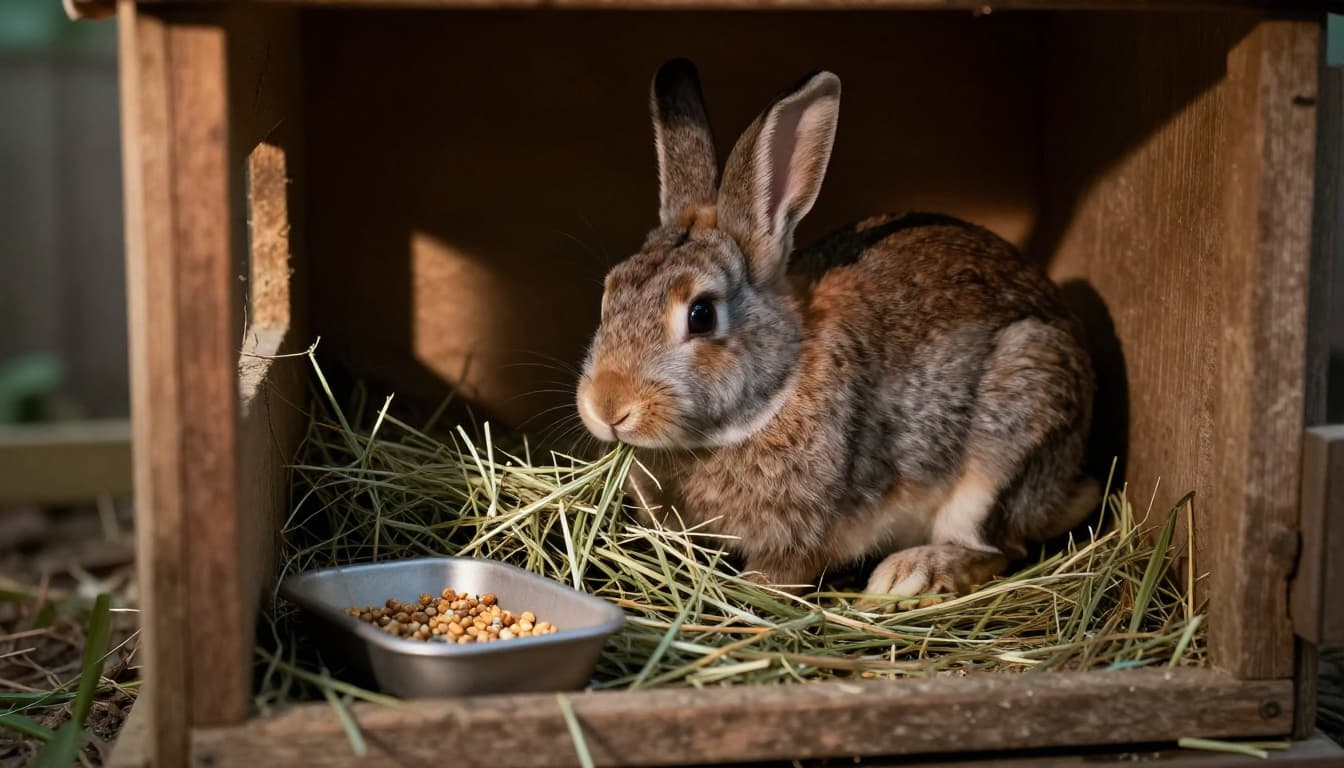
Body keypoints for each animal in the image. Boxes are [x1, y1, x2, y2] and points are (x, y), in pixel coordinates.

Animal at [575, 59, 1097, 604]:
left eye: (701, 314)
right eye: (609, 294)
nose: (608, 407)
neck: (778, 389)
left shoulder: (800, 538)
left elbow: (778, 577)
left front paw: (748, 594)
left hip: (1011, 433)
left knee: (999, 547)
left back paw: (908, 575)